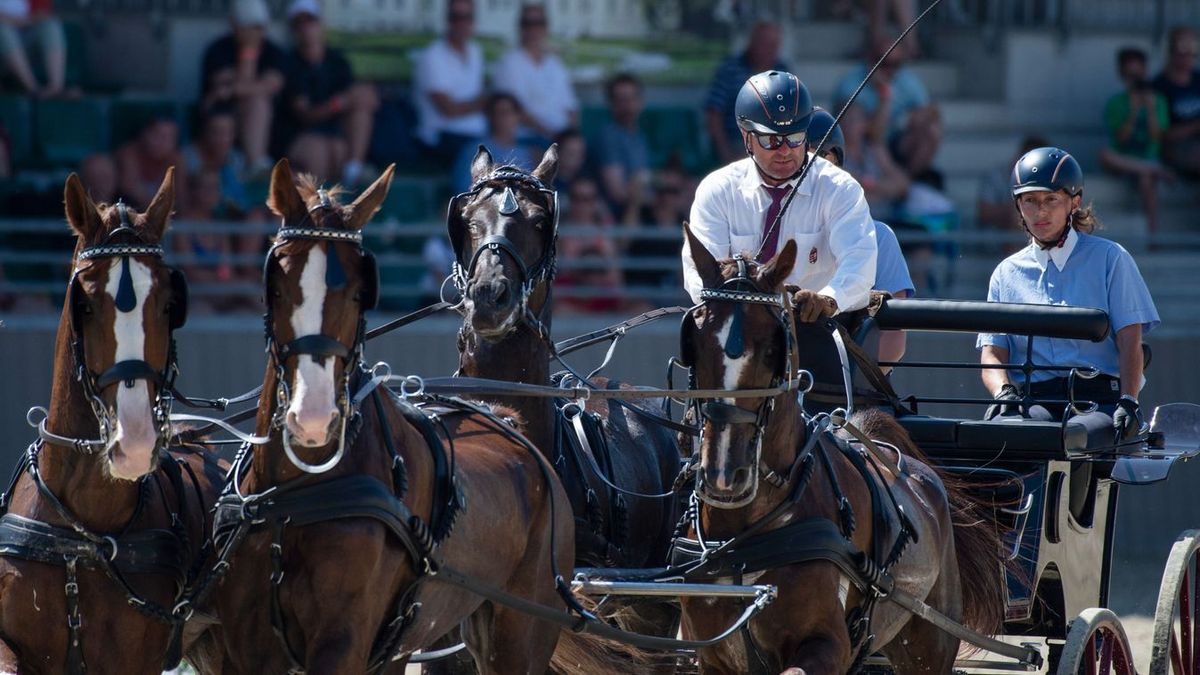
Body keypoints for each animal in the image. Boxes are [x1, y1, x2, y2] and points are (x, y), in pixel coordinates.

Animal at [211, 162, 628, 672]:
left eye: (362, 291)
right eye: (275, 283)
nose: (312, 414)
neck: (297, 495)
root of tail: (508, 421)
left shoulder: (342, 641)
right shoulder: (246, 646)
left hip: (523, 629)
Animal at [676, 227, 1003, 672]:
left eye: (773, 348)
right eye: (694, 343)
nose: (726, 473)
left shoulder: (827, 645)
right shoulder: (711, 655)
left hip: (929, 642)